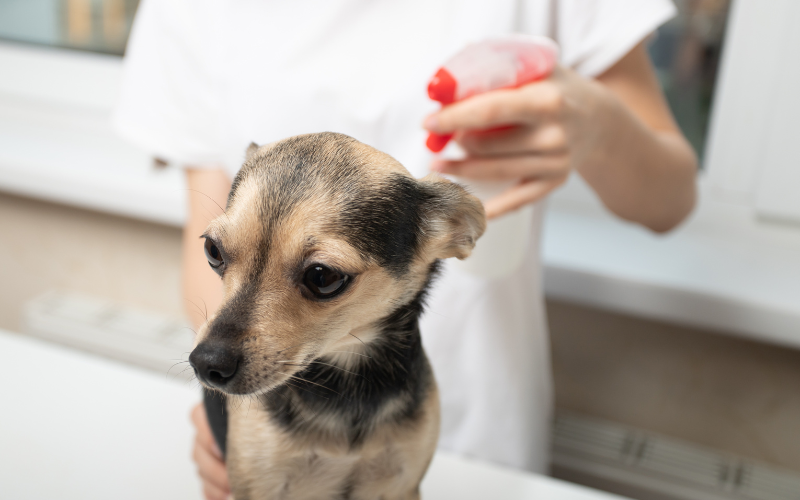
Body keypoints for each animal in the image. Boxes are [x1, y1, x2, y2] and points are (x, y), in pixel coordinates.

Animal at [190, 133, 484, 500]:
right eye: (212, 251)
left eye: (323, 277)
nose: (206, 362)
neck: (345, 382)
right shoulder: (258, 486)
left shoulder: (403, 484)